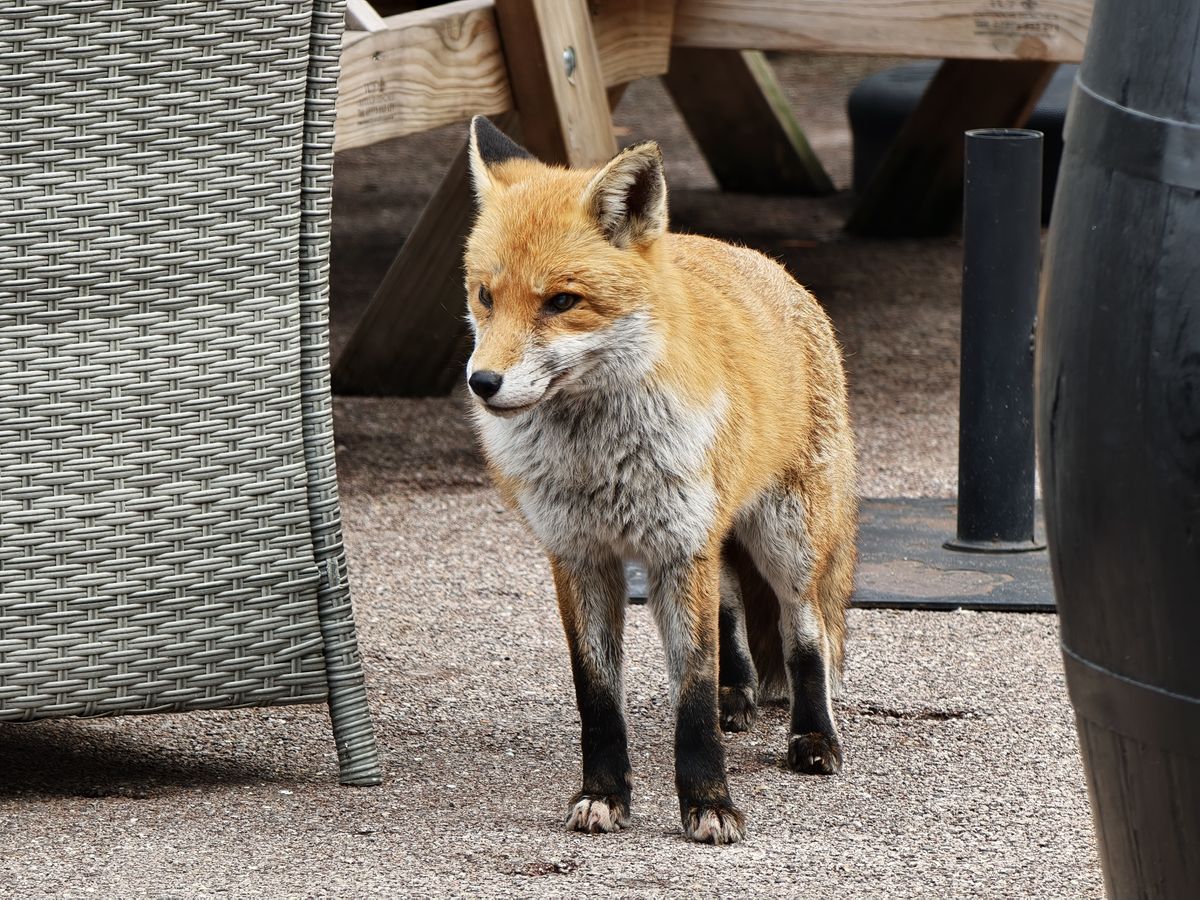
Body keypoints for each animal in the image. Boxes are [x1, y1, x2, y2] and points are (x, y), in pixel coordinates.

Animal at [462, 116, 858, 845]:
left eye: (562, 302)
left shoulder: (679, 545)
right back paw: (739, 693)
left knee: (806, 632)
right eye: (485, 296)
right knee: (731, 610)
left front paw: (709, 803)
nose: (483, 383)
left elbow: (691, 694)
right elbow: (597, 695)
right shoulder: (579, 555)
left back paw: (813, 736)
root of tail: (767, 262)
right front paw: (602, 794)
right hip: (717, 536)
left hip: (786, 539)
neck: (595, 458)